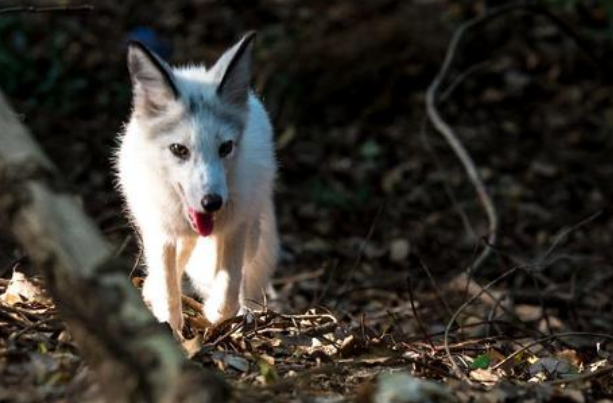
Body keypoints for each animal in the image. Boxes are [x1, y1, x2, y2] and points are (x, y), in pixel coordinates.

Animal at [114, 33, 278, 340]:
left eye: (225, 148)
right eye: (179, 149)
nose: (212, 202)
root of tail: (195, 72)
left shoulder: (236, 226)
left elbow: (228, 289)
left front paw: (216, 312)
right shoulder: (161, 231)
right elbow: (169, 289)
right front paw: (171, 328)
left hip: (253, 234)